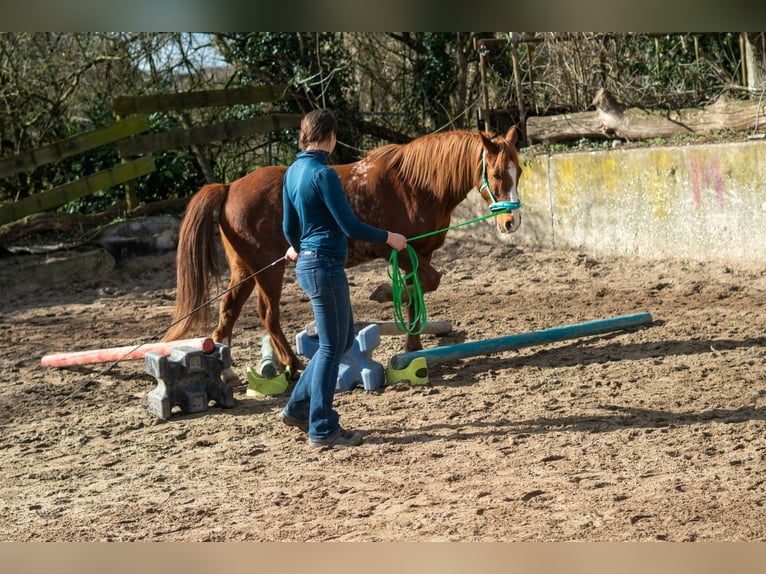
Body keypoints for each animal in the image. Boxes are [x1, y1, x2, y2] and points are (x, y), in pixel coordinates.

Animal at [163, 125, 523, 385]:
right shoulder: (403, 251)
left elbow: (419, 292)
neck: (416, 185)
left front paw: (413, 347)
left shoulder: (423, 253)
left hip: (246, 269)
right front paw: (386, 297)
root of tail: (229, 188)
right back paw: (290, 364)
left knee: (229, 310)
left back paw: (229, 370)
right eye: (497, 175)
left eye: (518, 171)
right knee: (267, 313)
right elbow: (421, 286)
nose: (512, 222)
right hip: (268, 270)